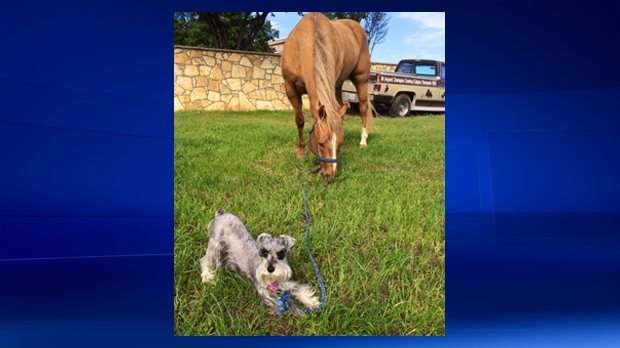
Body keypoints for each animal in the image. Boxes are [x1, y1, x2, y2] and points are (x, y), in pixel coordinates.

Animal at [282, 12, 372, 181]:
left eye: (340, 144)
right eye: (321, 143)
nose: (331, 175)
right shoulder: (290, 89)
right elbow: (300, 121)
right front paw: (301, 152)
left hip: (361, 79)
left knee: (363, 108)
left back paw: (363, 141)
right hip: (338, 85)